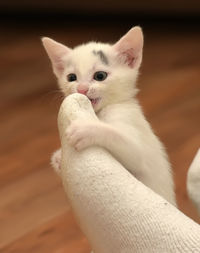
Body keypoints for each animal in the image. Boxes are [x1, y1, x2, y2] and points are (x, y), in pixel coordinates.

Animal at [42, 26, 177, 207]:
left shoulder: (136, 140)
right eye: (71, 78)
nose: (82, 89)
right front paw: (58, 158)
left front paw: (85, 130)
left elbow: (123, 141)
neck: (99, 113)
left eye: (100, 76)